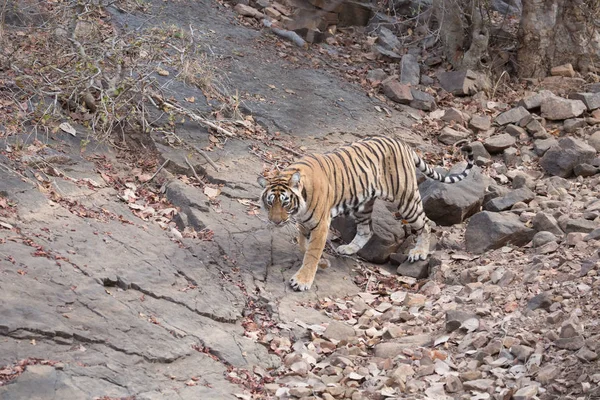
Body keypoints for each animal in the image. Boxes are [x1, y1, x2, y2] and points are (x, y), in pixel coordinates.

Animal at [258, 135, 474, 290]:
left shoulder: (320, 225)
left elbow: (312, 252)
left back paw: (419, 252)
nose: (275, 222)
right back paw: (349, 248)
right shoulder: (304, 222)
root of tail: (402, 143)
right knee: (366, 230)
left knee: (426, 223)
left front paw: (302, 280)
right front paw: (324, 263)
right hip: (362, 205)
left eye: (285, 203)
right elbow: (304, 245)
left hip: (406, 200)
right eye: (270, 203)